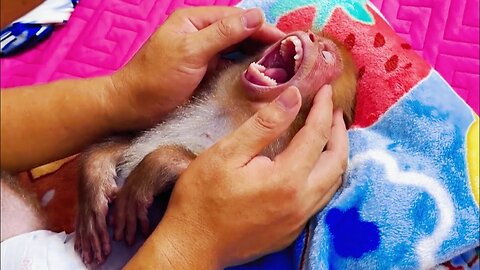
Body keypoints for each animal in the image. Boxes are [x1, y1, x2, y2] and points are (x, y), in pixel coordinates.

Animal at [76, 30, 356, 266]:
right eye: (317, 37)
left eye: (326, 55)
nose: (312, 36)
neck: (236, 108)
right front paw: (94, 179)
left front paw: (154, 168)